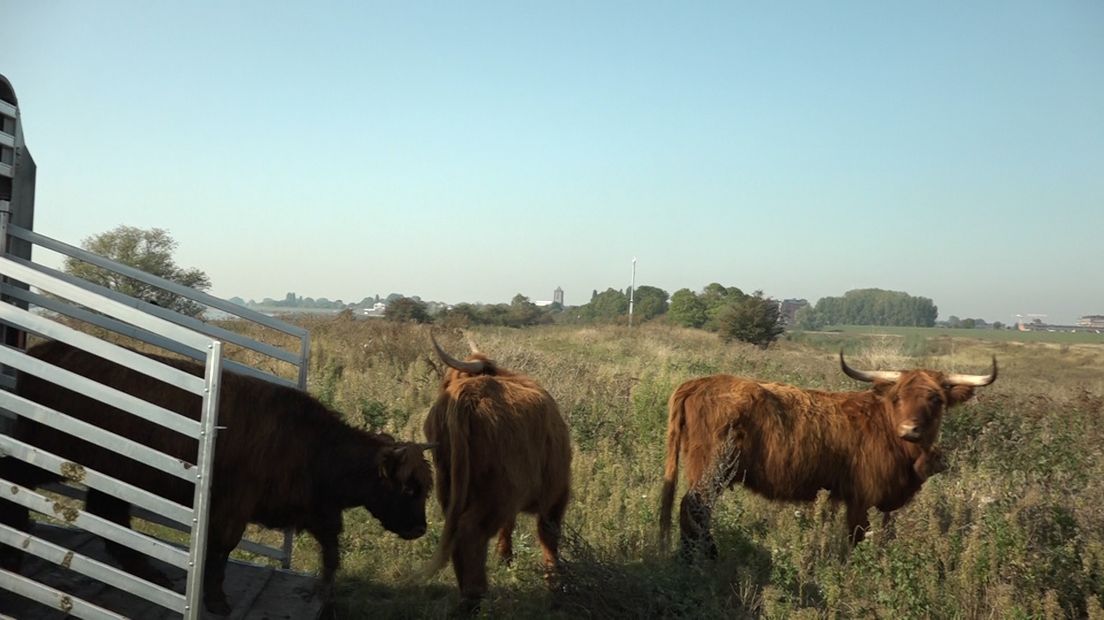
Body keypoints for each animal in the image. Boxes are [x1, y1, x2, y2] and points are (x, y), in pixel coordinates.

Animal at [0, 337, 434, 613]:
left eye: (425, 488)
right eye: (407, 488)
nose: (419, 530)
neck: (316, 448)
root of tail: (48, 350)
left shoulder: (316, 510)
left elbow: (331, 553)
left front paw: (324, 594)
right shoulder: (234, 507)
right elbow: (222, 549)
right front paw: (217, 600)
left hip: (111, 472)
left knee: (110, 517)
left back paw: (151, 573)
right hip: (50, 451)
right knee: (17, 479)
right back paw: (14, 554)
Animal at [417, 333, 574, 608]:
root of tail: (466, 393)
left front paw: (505, 557)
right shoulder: (557, 492)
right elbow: (549, 536)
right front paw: (555, 584)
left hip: (452, 487)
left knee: (458, 534)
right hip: (497, 494)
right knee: (470, 533)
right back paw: (475, 596)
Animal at [657, 353, 998, 556]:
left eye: (936, 399)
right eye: (898, 397)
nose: (910, 429)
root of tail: (698, 382)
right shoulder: (861, 496)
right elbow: (856, 538)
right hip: (711, 469)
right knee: (694, 508)